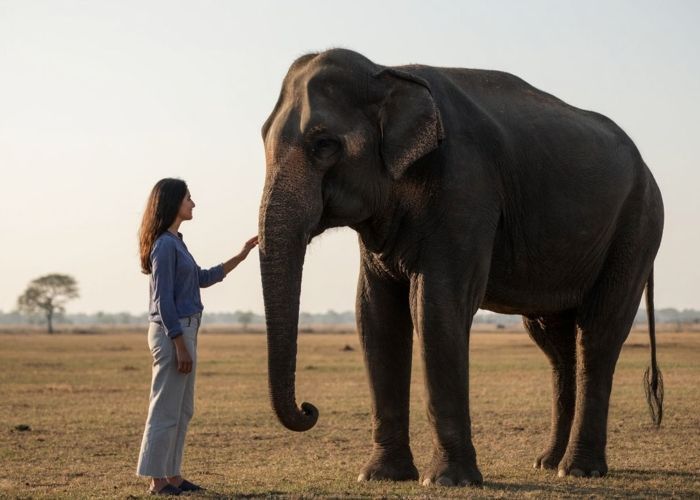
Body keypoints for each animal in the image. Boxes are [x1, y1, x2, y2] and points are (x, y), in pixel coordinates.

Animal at [258, 48, 664, 487]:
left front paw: (448, 481)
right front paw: (382, 476)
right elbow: (375, 316)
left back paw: (579, 470)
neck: (386, 73)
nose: (309, 408)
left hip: (636, 229)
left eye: (324, 144)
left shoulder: (465, 187)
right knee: (556, 346)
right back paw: (547, 463)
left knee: (599, 334)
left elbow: (437, 307)